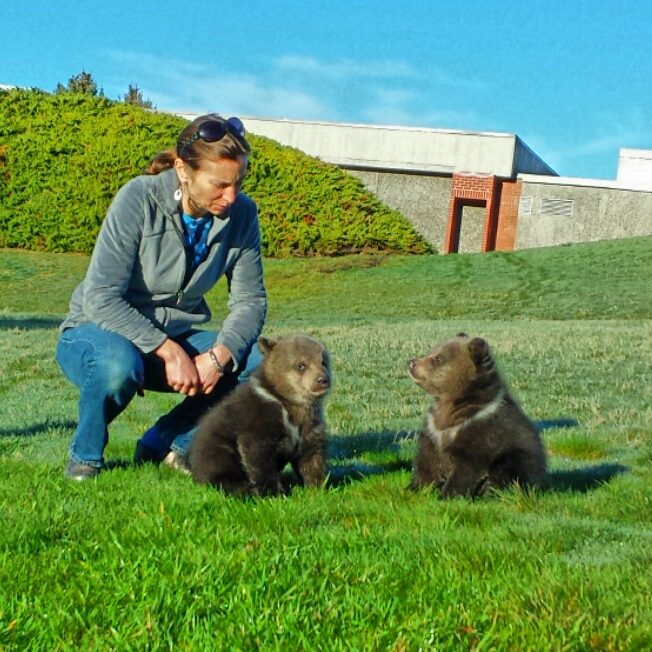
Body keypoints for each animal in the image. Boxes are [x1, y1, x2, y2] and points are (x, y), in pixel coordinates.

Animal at [189, 334, 331, 496]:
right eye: (301, 365)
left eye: (323, 362)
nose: (322, 380)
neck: (291, 404)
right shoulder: (260, 421)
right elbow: (259, 458)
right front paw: (271, 492)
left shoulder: (309, 428)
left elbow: (312, 458)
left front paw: (317, 487)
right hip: (218, 446)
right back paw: (239, 488)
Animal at [408, 333, 546, 498]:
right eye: (432, 350)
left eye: (438, 358)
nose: (411, 363)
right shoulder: (434, 430)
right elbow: (427, 461)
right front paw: (415, 488)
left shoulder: (481, 429)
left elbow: (468, 467)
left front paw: (447, 494)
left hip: (518, 459)